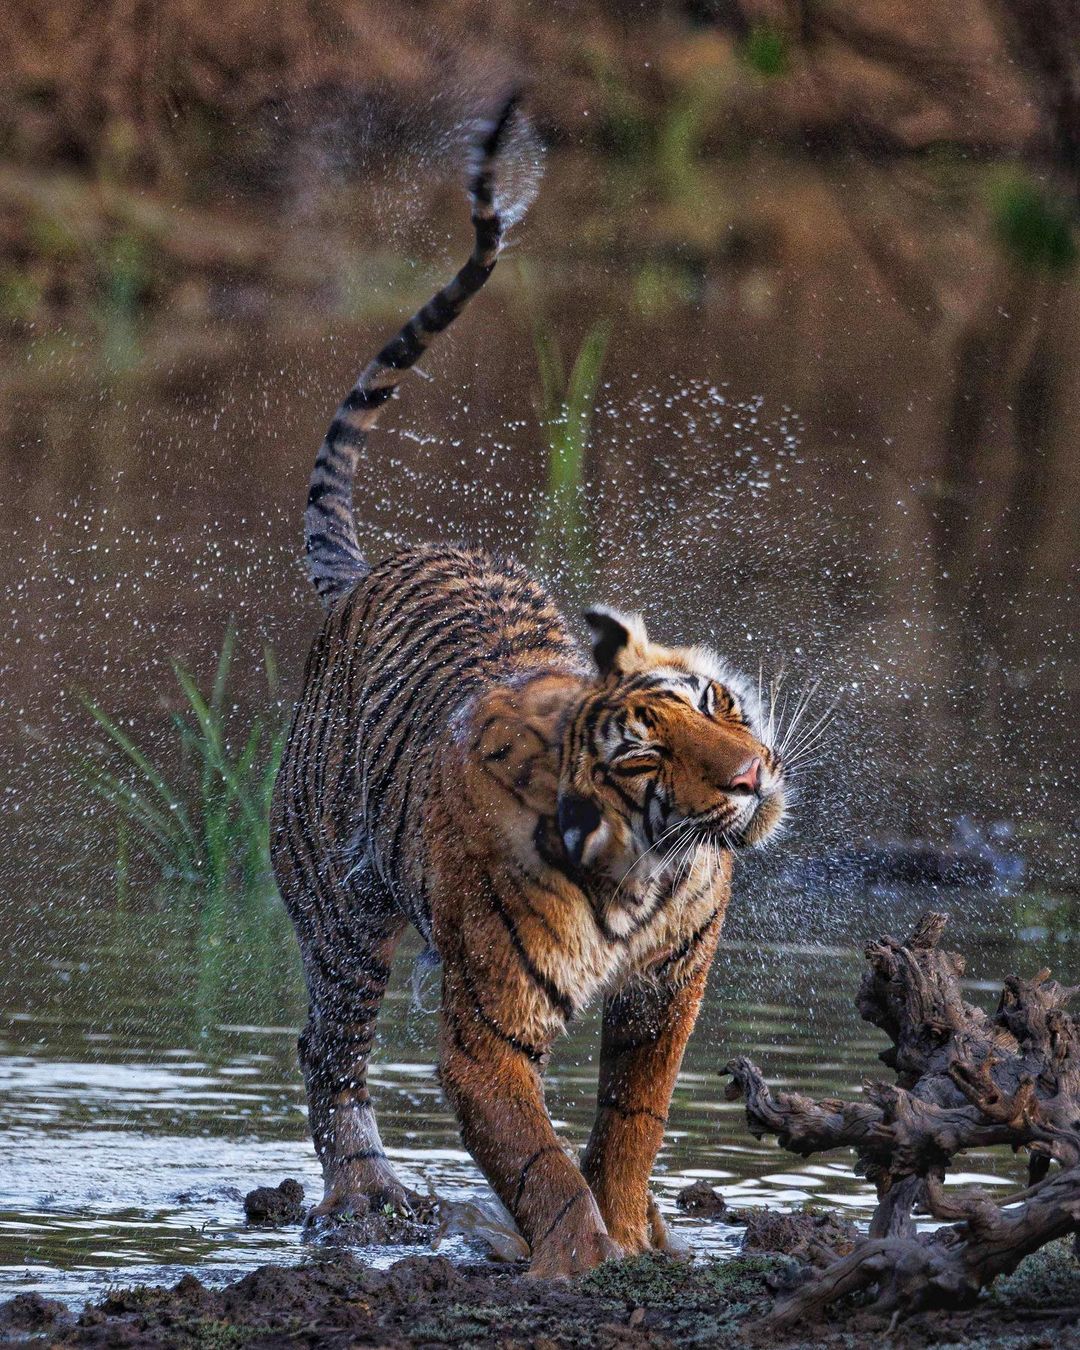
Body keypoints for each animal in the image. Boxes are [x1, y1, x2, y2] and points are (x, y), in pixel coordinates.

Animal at [272, 92, 783, 1274]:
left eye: (718, 704)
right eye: (647, 751)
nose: (752, 779)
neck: (645, 874)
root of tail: (373, 570)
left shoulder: (668, 992)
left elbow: (631, 1120)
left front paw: (638, 1233)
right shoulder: (487, 1030)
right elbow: (534, 1155)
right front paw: (579, 1259)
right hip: (342, 906)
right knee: (331, 1048)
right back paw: (368, 1199)